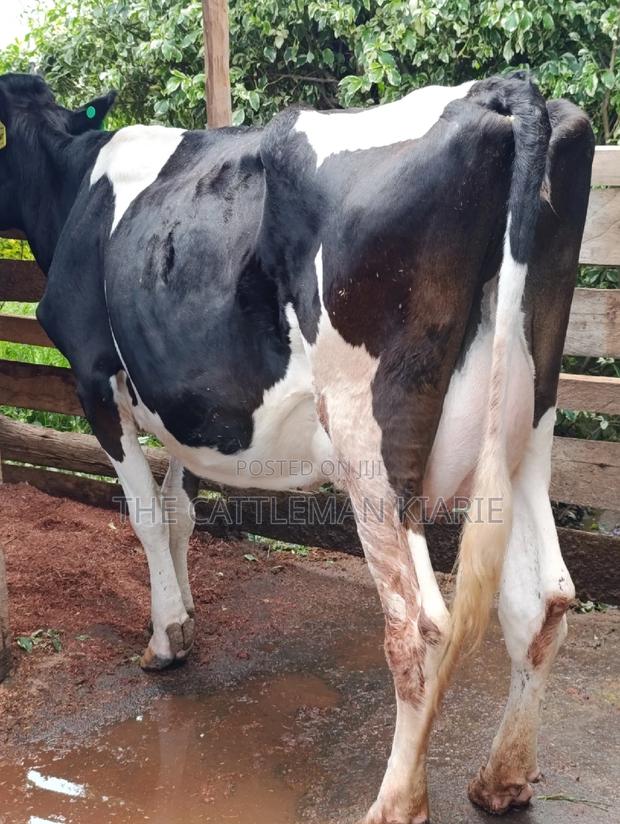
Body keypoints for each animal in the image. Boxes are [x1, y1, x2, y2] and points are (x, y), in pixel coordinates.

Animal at [0, 71, 593, 822]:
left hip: (370, 439)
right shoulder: (192, 405)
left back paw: (396, 801)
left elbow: (145, 514)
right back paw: (502, 778)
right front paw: (185, 617)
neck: (74, 179)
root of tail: (499, 89)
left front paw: (166, 637)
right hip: (528, 423)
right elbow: (180, 510)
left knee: (418, 624)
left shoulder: (91, 372)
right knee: (542, 599)